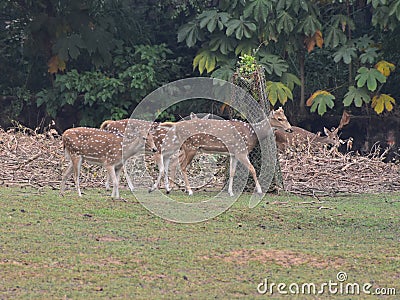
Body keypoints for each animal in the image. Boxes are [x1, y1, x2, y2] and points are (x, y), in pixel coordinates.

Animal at [150, 108, 290, 197]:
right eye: (279, 119)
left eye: (285, 117)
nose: (290, 129)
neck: (252, 134)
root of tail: (176, 125)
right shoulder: (241, 151)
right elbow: (252, 169)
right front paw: (260, 190)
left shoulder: (234, 153)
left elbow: (232, 172)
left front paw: (230, 192)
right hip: (190, 147)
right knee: (181, 165)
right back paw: (188, 191)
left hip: (184, 147)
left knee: (172, 160)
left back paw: (167, 189)